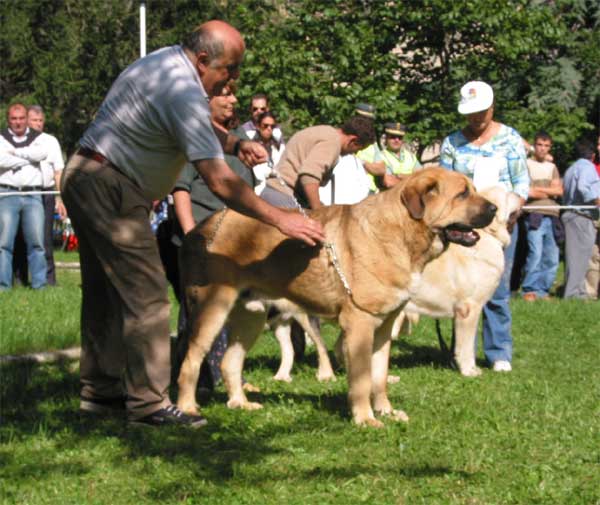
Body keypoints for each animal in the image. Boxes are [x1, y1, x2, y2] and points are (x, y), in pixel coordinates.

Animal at [176, 166, 494, 426]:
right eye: (463, 194)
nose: (494, 208)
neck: (401, 232)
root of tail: (203, 227)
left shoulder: (384, 327)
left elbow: (379, 376)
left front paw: (387, 412)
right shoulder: (361, 324)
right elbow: (362, 379)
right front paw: (365, 418)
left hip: (250, 316)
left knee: (230, 362)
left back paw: (241, 404)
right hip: (213, 309)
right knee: (191, 361)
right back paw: (188, 409)